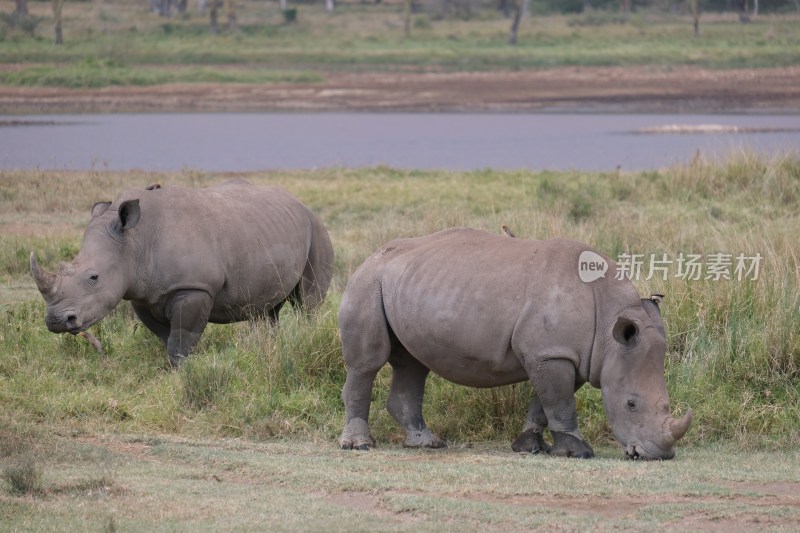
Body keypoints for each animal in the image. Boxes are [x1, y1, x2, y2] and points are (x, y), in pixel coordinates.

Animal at [29, 179, 332, 366]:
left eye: (94, 277)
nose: (56, 321)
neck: (135, 241)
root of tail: (300, 203)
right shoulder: (142, 293)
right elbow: (166, 336)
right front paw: (173, 367)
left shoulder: (194, 287)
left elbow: (182, 336)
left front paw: (179, 370)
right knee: (266, 310)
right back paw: (266, 351)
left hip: (316, 230)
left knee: (307, 303)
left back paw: (305, 339)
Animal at [338, 227, 688, 460]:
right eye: (631, 404)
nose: (658, 455)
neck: (608, 323)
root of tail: (369, 257)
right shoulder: (552, 354)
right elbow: (560, 402)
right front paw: (577, 452)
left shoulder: (562, 355)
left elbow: (545, 402)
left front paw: (530, 447)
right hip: (368, 282)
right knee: (368, 363)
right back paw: (360, 446)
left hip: (405, 285)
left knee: (412, 364)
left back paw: (427, 443)